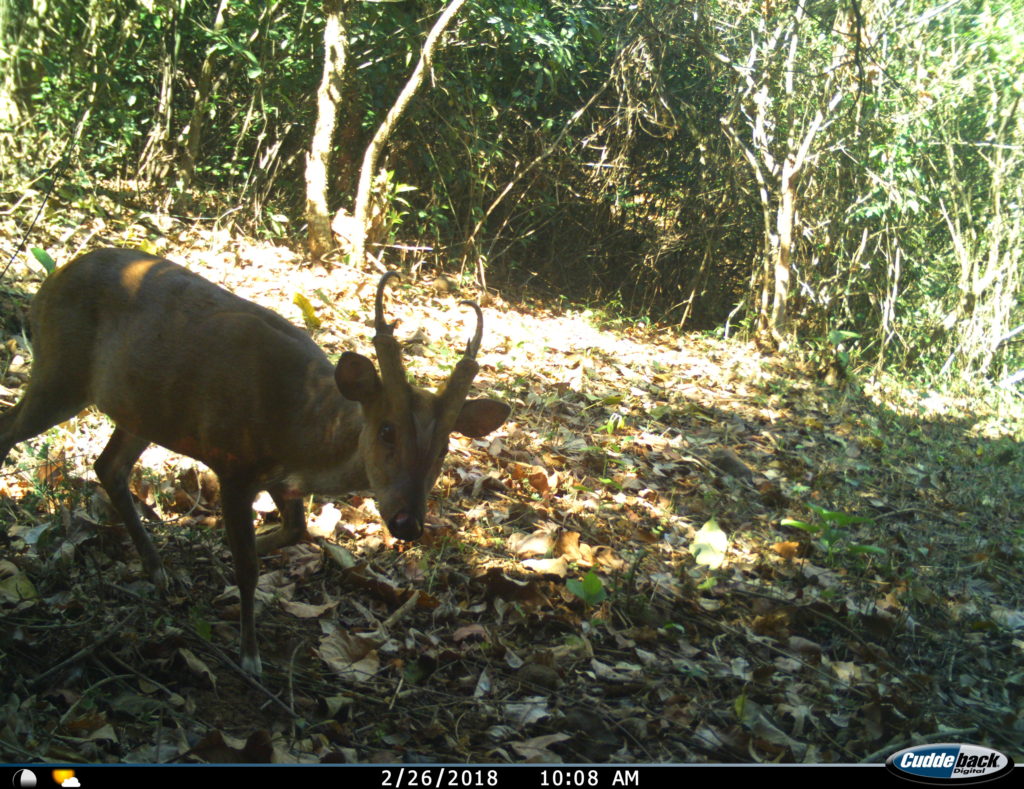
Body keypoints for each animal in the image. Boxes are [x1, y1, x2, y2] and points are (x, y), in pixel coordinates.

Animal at [0, 249, 512, 675]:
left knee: (108, 466)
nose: (407, 522)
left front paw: (213, 553)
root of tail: (51, 281)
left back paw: (157, 569)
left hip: (140, 406)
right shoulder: (233, 462)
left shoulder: (283, 482)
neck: (302, 428)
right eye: (387, 430)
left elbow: (295, 531)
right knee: (12, 429)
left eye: (444, 447)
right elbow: (248, 564)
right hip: (59, 370)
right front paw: (250, 656)